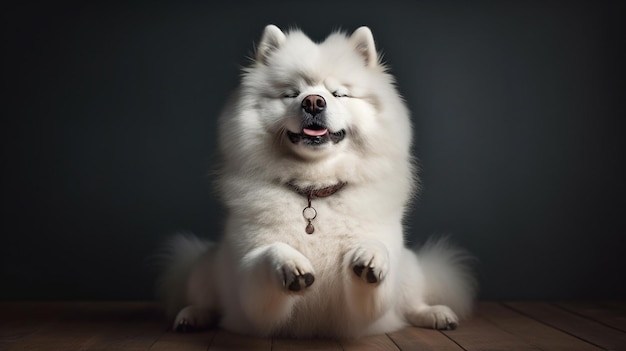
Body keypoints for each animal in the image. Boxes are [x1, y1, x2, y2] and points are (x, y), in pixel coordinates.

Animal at [158, 24, 476, 338]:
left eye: (338, 94)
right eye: (292, 93)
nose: (313, 101)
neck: (315, 188)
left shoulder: (358, 312)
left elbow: (374, 257)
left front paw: (369, 256)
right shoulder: (253, 297)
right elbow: (269, 253)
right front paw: (291, 265)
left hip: (410, 268)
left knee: (410, 304)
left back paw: (436, 314)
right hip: (204, 266)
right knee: (204, 300)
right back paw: (192, 316)